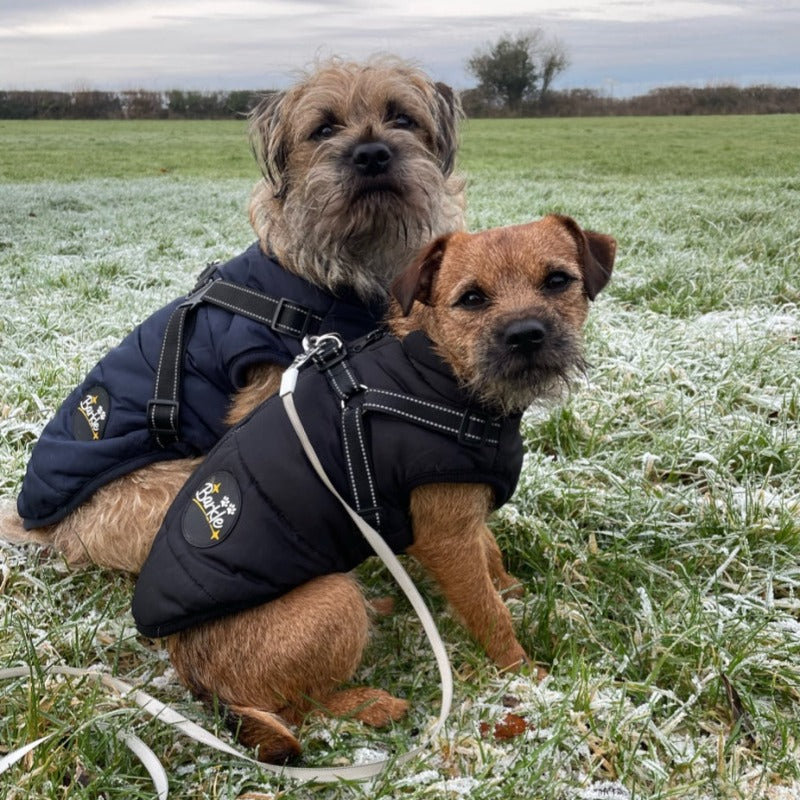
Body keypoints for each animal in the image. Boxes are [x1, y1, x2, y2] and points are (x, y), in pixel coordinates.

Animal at [161, 214, 612, 764]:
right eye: (472, 298)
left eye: (557, 281)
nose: (525, 334)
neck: (438, 369)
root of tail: (196, 680)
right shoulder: (444, 537)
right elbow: (488, 611)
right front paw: (524, 676)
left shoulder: (463, 514)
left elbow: (490, 553)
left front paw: (509, 586)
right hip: (330, 603)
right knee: (296, 706)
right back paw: (369, 705)